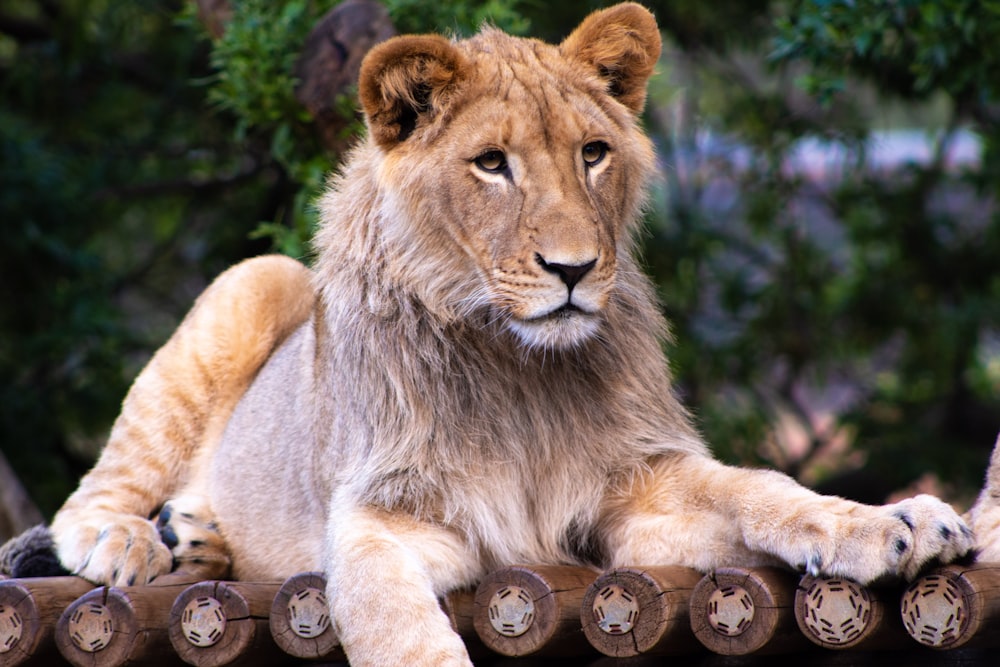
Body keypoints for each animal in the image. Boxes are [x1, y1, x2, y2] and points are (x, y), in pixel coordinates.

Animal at [50, 3, 972, 664]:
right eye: (492, 164)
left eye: (593, 153)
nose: (573, 268)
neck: (515, 364)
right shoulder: (382, 518)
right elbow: (397, 629)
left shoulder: (632, 494)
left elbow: (761, 488)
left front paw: (898, 522)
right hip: (258, 278)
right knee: (92, 491)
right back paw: (134, 540)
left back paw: (199, 539)